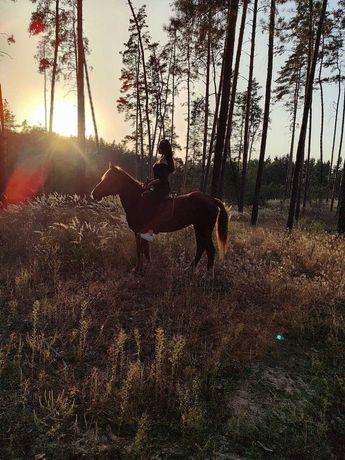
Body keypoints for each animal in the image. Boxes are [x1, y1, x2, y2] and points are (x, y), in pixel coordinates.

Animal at [90, 164, 228, 274]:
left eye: (110, 179)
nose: (93, 193)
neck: (138, 200)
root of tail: (212, 199)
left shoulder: (139, 231)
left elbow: (140, 250)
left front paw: (138, 270)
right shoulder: (142, 232)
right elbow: (145, 251)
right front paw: (144, 268)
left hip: (204, 229)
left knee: (210, 250)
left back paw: (207, 275)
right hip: (198, 228)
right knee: (200, 248)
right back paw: (189, 269)